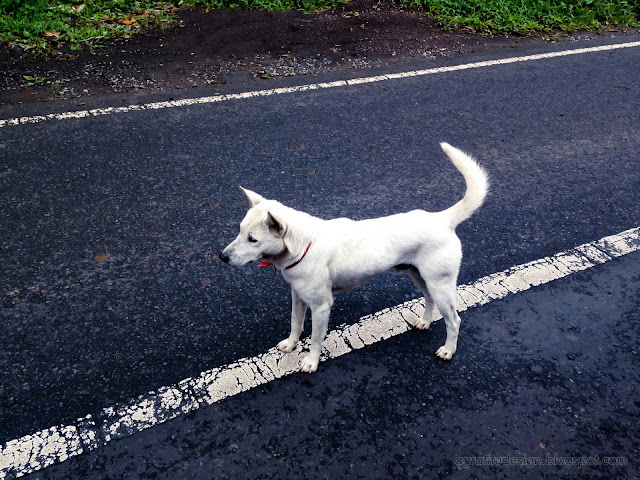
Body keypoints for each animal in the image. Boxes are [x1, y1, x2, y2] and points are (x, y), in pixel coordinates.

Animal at [220, 143, 488, 373]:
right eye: (240, 231)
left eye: (252, 239)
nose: (222, 257)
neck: (303, 245)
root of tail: (443, 219)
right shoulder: (297, 295)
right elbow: (295, 323)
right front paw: (290, 344)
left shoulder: (321, 306)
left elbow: (315, 338)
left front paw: (310, 362)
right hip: (421, 277)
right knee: (429, 300)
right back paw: (424, 322)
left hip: (440, 285)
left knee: (454, 320)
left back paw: (448, 350)